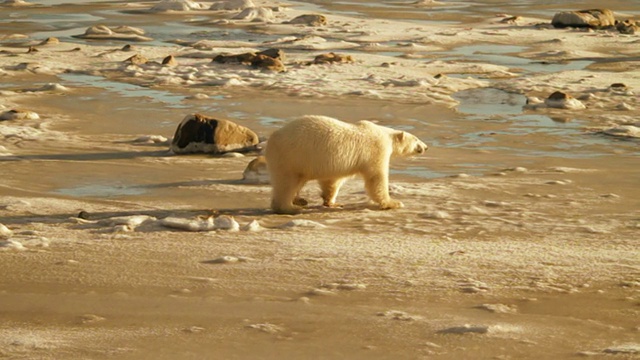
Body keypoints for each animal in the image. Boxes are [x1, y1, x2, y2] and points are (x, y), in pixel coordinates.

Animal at [264, 115, 430, 214]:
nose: (426, 147)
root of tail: (272, 138)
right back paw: (290, 207)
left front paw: (332, 202)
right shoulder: (376, 150)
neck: (386, 135)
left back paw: (299, 200)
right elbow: (376, 177)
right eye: (416, 139)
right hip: (291, 156)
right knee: (287, 183)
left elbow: (332, 181)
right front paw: (394, 203)